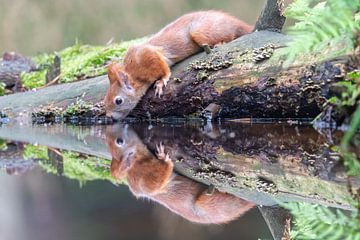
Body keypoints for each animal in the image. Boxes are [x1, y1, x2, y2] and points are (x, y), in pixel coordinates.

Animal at [102, 10, 252, 119]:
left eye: (118, 101)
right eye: (105, 98)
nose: (109, 117)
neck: (134, 72)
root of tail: (232, 20)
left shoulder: (149, 56)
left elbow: (164, 68)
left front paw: (161, 82)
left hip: (200, 31)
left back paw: (220, 43)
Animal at [105, 124, 255, 224]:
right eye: (120, 142)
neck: (136, 162)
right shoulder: (145, 178)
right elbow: (159, 181)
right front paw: (163, 157)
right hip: (206, 204)